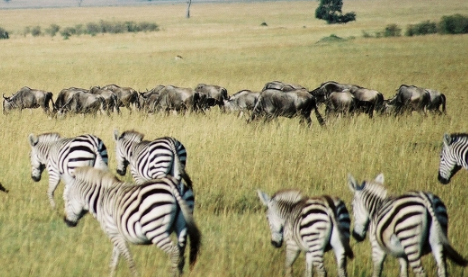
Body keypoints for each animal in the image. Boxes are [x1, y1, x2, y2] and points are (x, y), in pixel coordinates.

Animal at [62, 166, 201, 276]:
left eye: (66, 198)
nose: (66, 222)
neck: (102, 198)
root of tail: (172, 184)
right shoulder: (117, 233)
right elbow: (114, 261)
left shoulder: (113, 232)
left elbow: (128, 259)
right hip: (182, 225)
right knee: (181, 254)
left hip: (155, 229)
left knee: (174, 252)